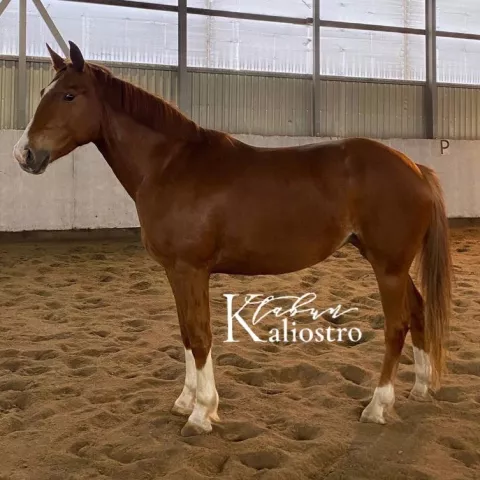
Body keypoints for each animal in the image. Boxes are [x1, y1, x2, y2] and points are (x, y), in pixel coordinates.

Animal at [12, 41, 452, 437]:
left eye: (69, 94)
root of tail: (415, 168)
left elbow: (200, 335)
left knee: (397, 324)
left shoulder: (191, 269)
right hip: (388, 262)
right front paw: (186, 401)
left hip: (388, 265)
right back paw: (419, 389)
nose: (24, 154)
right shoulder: (175, 272)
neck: (169, 165)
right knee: (418, 311)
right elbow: (186, 333)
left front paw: (202, 413)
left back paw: (377, 407)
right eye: (44, 91)